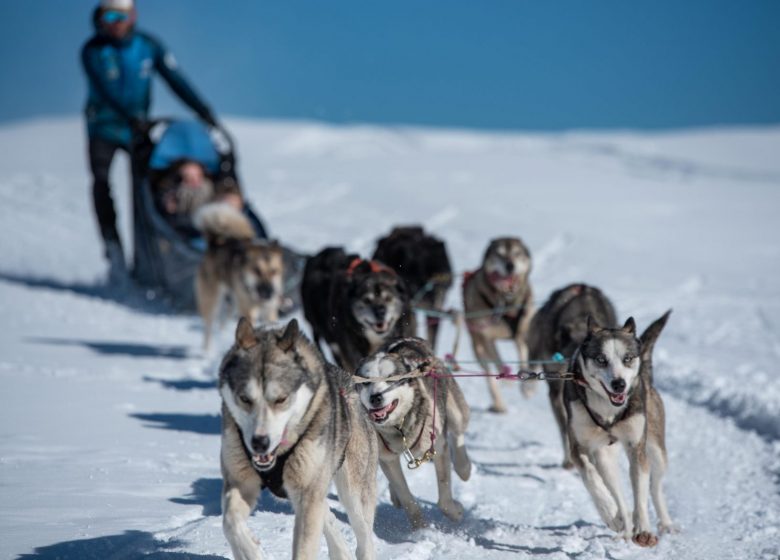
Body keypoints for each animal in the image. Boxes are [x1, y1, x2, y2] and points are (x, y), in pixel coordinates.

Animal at [219, 320, 378, 560]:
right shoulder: (240, 480)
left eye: (281, 399)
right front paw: (251, 551)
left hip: (353, 491)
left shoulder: (307, 491)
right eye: (244, 399)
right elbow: (229, 522)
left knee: (365, 536)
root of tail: (349, 381)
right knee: (327, 515)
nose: (259, 443)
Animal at [356, 336, 472, 528]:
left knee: (458, 433)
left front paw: (455, 513)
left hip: (454, 410)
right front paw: (420, 527)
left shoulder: (437, 447)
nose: (375, 397)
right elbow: (406, 496)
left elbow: (444, 496)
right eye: (366, 381)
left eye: (391, 379)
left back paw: (464, 467)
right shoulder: (387, 458)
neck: (399, 427)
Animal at [464, 236, 536, 412]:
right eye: (499, 254)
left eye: (517, 253)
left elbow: (524, 357)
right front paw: (507, 377)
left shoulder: (523, 334)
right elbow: (497, 361)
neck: (506, 302)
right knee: (489, 370)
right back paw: (499, 403)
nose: (510, 266)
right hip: (478, 347)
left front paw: (527, 386)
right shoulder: (486, 338)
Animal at [564, 310, 672, 548]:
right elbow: (591, 478)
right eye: (601, 359)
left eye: (627, 358)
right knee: (617, 493)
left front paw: (644, 529)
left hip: (656, 450)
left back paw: (664, 523)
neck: (608, 411)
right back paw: (623, 524)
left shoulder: (636, 446)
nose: (619, 384)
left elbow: (641, 492)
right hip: (605, 457)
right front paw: (610, 514)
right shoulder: (579, 447)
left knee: (655, 487)